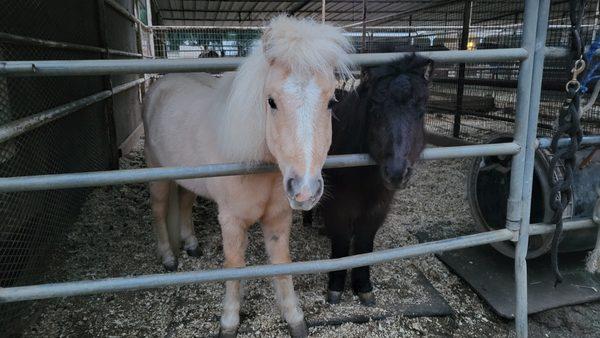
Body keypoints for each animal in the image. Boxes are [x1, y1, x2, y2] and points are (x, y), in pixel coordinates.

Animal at [144, 16, 354, 338]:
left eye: (331, 101)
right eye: (271, 101)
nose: (305, 190)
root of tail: (160, 85)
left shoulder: (279, 217)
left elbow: (282, 264)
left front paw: (295, 318)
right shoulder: (231, 220)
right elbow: (235, 265)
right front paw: (229, 322)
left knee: (185, 204)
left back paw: (191, 244)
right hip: (157, 174)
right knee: (158, 210)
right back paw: (168, 257)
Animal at [304, 54, 432, 306]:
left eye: (421, 111)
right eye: (374, 109)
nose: (396, 172)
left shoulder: (377, 208)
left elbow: (364, 244)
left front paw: (363, 286)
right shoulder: (338, 207)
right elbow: (341, 243)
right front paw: (336, 287)